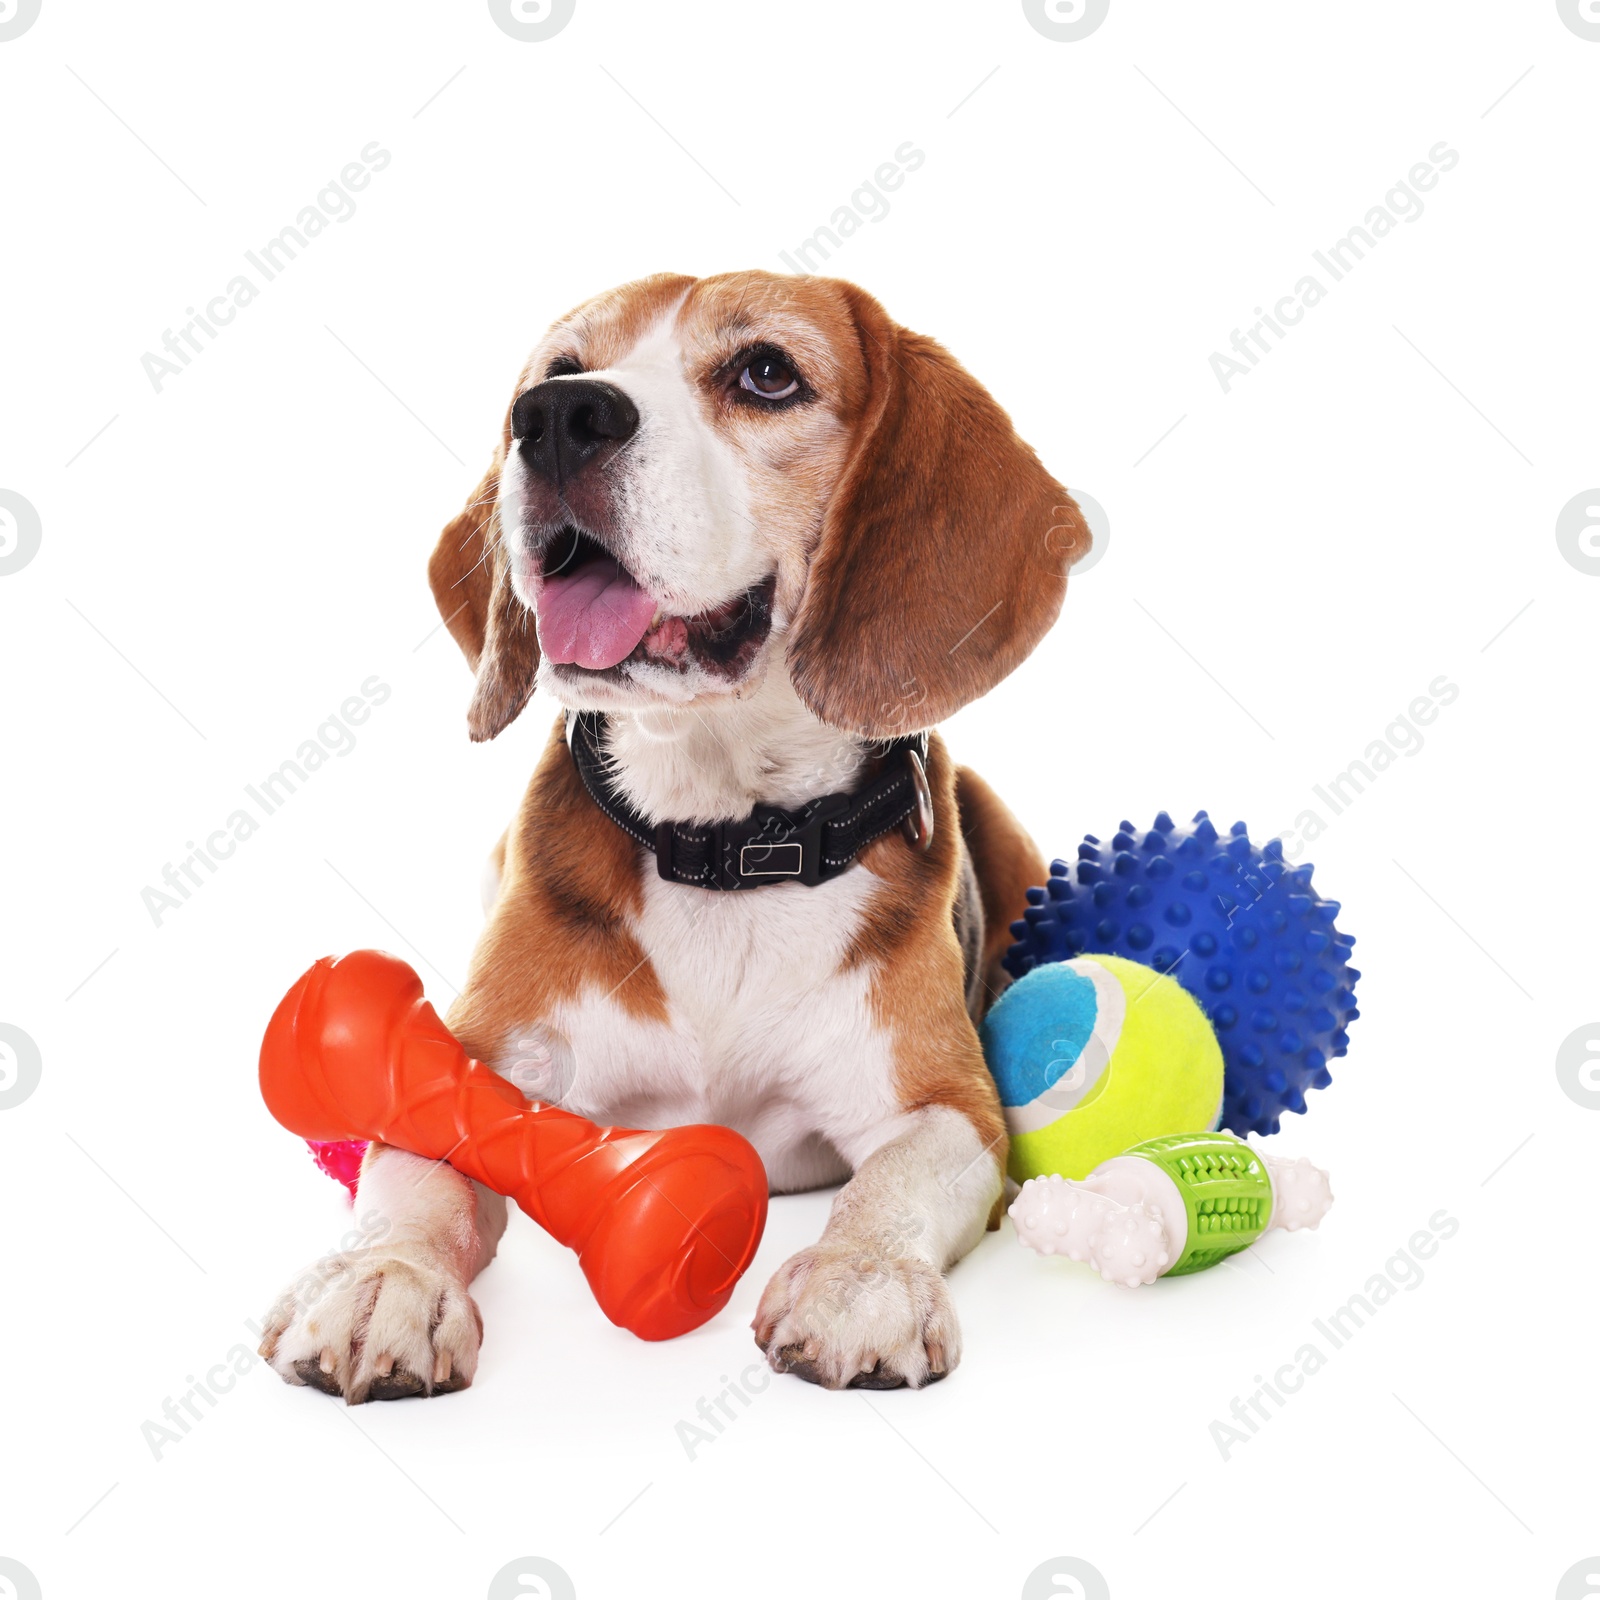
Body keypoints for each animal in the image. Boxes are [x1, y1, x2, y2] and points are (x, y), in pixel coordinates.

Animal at [259, 268, 1088, 1395]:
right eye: (560, 370)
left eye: (767, 373)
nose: (555, 418)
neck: (723, 843)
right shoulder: (484, 1062)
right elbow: (419, 1172)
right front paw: (384, 1276)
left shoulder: (947, 1104)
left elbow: (893, 1182)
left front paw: (860, 1277)